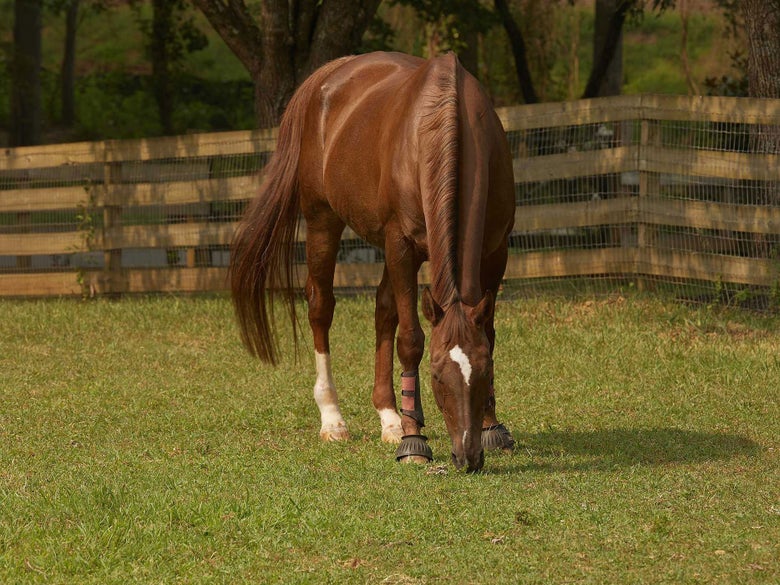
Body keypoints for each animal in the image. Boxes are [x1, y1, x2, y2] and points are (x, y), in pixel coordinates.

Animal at [230, 51, 516, 472]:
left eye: (482, 372)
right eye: (436, 376)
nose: (467, 455)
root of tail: (327, 76)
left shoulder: (496, 251)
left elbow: (489, 334)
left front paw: (492, 428)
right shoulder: (401, 246)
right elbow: (410, 340)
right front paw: (415, 441)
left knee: (383, 310)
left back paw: (390, 416)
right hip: (322, 219)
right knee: (321, 307)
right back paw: (333, 418)